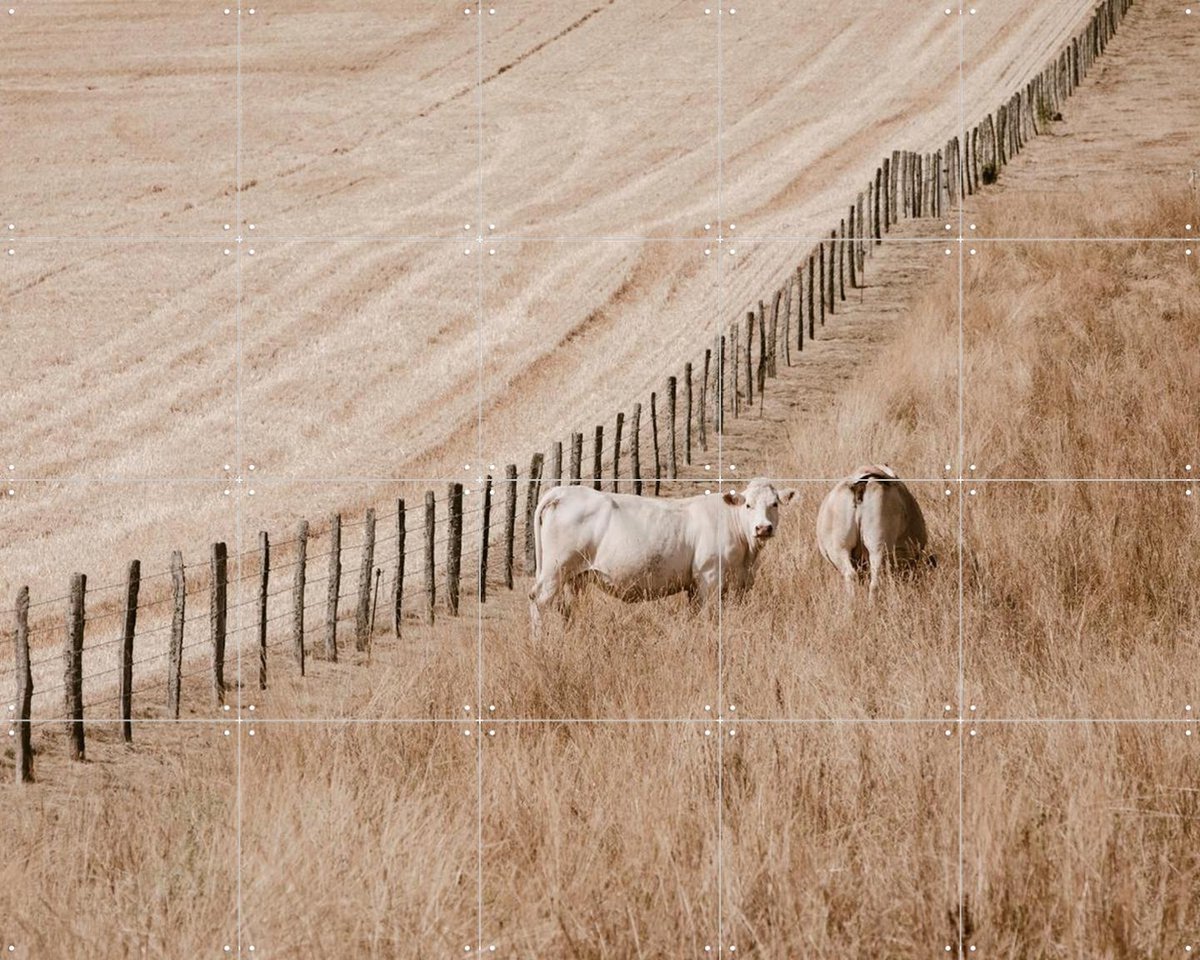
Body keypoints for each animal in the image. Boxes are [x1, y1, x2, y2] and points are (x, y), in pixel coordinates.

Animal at [528, 478, 797, 636]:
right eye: (748, 505)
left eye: (774, 504)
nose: (763, 528)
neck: (747, 557)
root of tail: (563, 491)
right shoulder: (709, 578)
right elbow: (709, 616)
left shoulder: (731, 585)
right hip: (555, 571)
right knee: (539, 601)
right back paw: (540, 642)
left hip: (577, 577)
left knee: (568, 608)